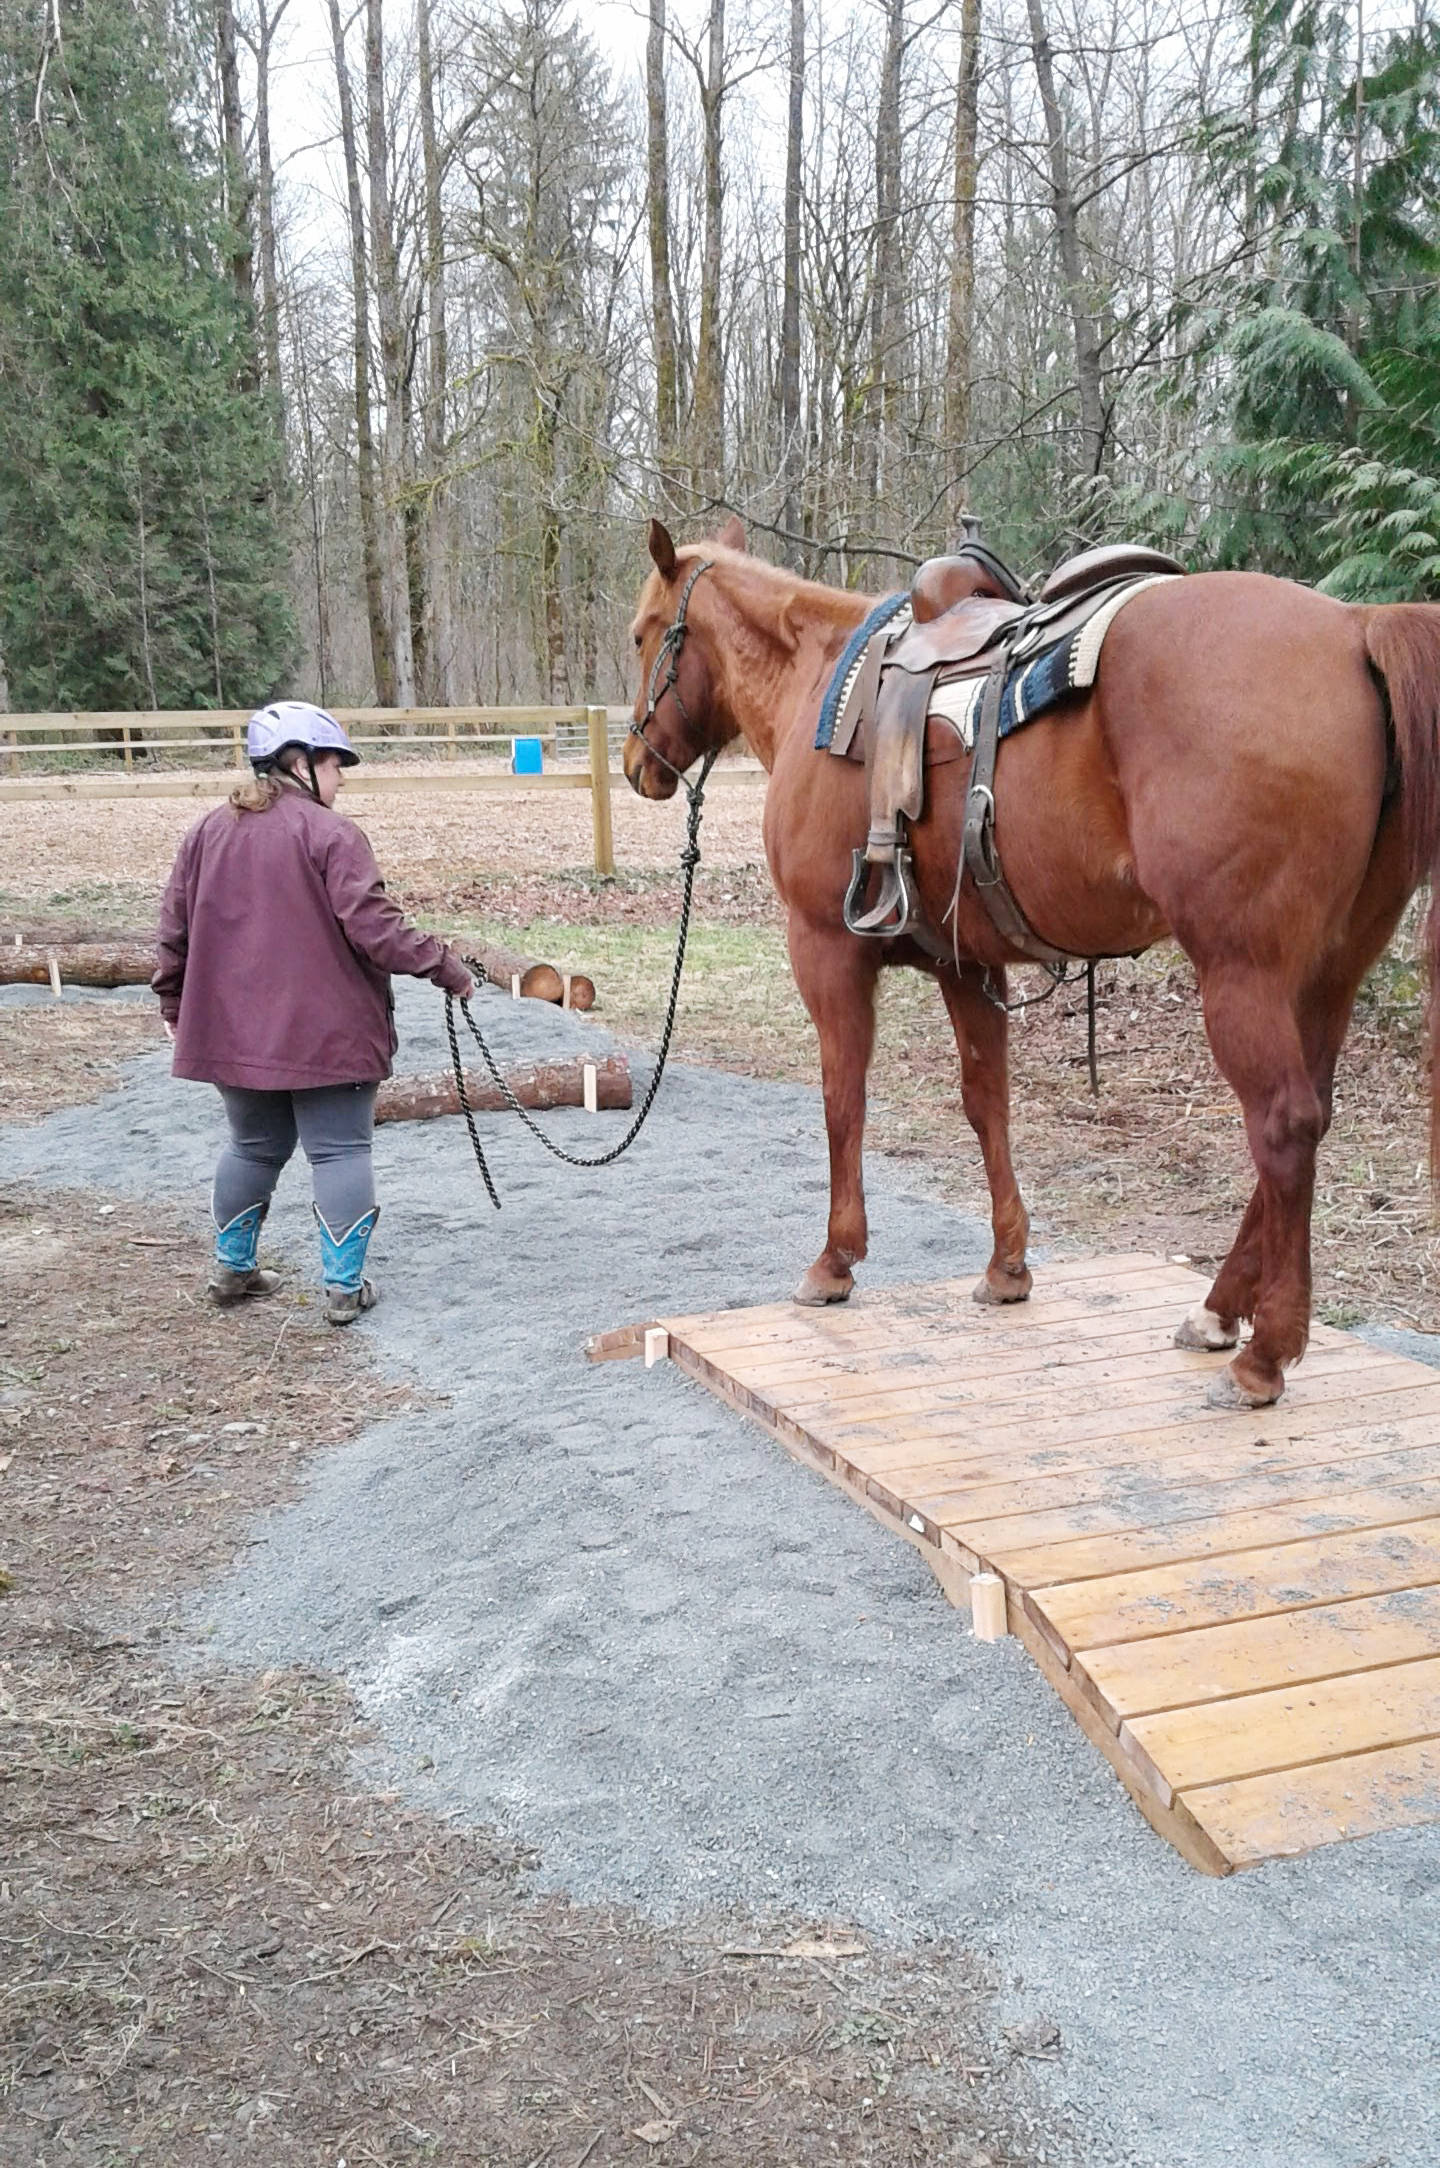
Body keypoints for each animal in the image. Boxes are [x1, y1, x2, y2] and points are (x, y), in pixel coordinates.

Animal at [628, 518, 1440, 1413]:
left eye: (641, 636)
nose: (638, 764)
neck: (821, 676)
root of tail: (1353, 629)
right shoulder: (967, 965)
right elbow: (987, 1103)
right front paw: (1007, 1266)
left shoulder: (825, 949)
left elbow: (844, 1101)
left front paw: (836, 1260)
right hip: (1330, 973)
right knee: (1312, 1116)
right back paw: (1219, 1311)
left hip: (1244, 972)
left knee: (1285, 1129)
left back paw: (1265, 1354)